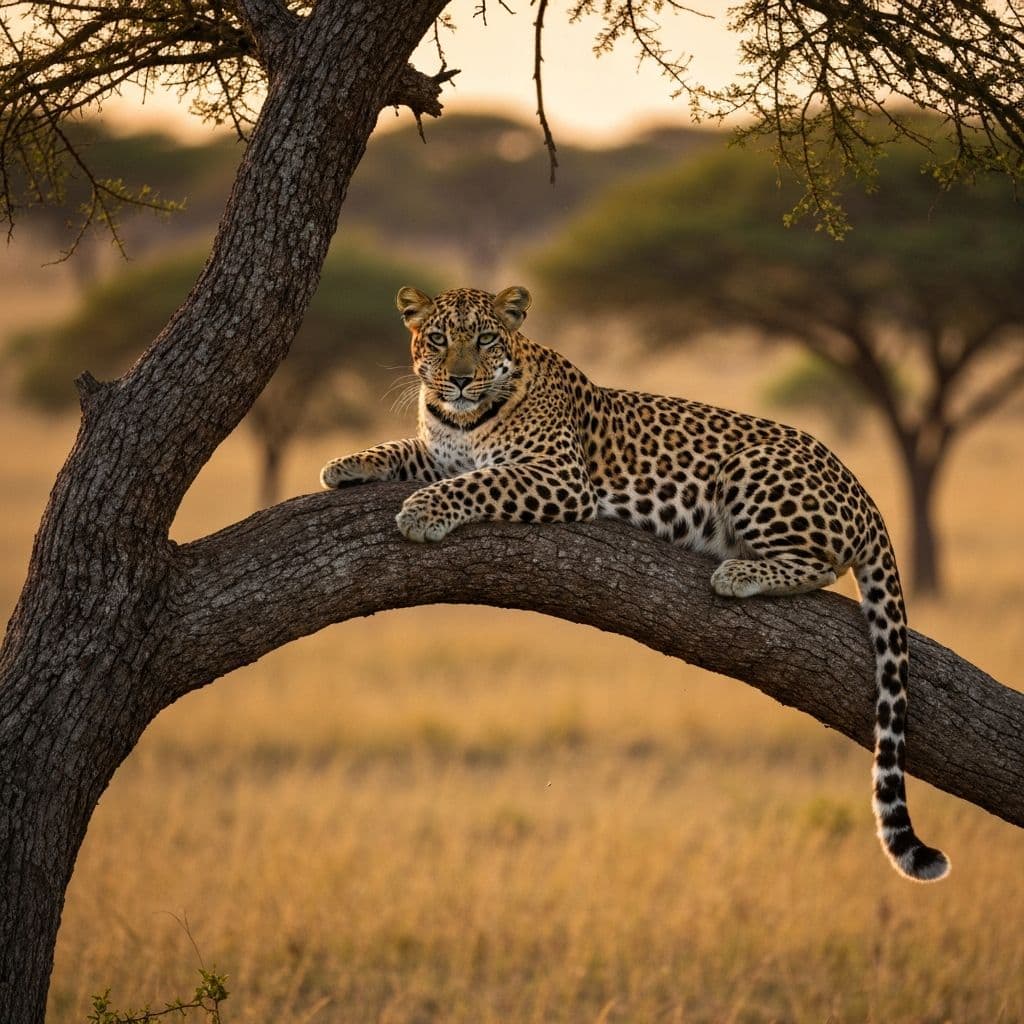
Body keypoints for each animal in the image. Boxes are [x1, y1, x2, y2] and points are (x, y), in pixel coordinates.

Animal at [321, 284, 949, 883]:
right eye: (439, 338)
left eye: (485, 340)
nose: (457, 379)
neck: (461, 418)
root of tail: (864, 493)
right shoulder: (443, 452)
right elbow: (410, 450)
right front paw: (346, 463)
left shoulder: (557, 477)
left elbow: (477, 482)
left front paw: (421, 511)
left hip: (752, 467)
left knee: (822, 563)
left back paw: (740, 572)